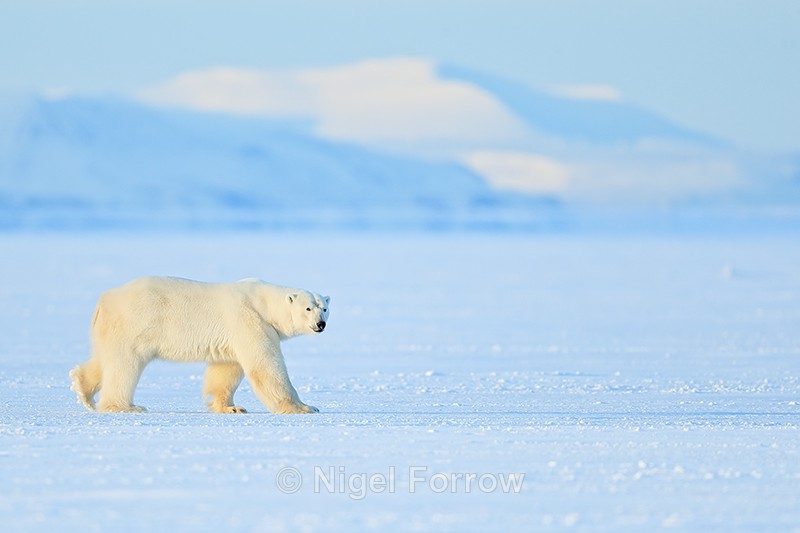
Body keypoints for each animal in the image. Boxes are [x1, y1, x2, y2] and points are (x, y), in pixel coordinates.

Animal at [69, 276, 329, 414]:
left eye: (324, 307)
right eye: (308, 308)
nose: (321, 324)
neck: (262, 302)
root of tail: (104, 300)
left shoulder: (236, 332)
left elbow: (226, 369)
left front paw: (230, 407)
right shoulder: (249, 319)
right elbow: (265, 367)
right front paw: (305, 407)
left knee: (104, 360)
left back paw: (82, 388)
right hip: (133, 325)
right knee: (124, 365)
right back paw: (126, 406)